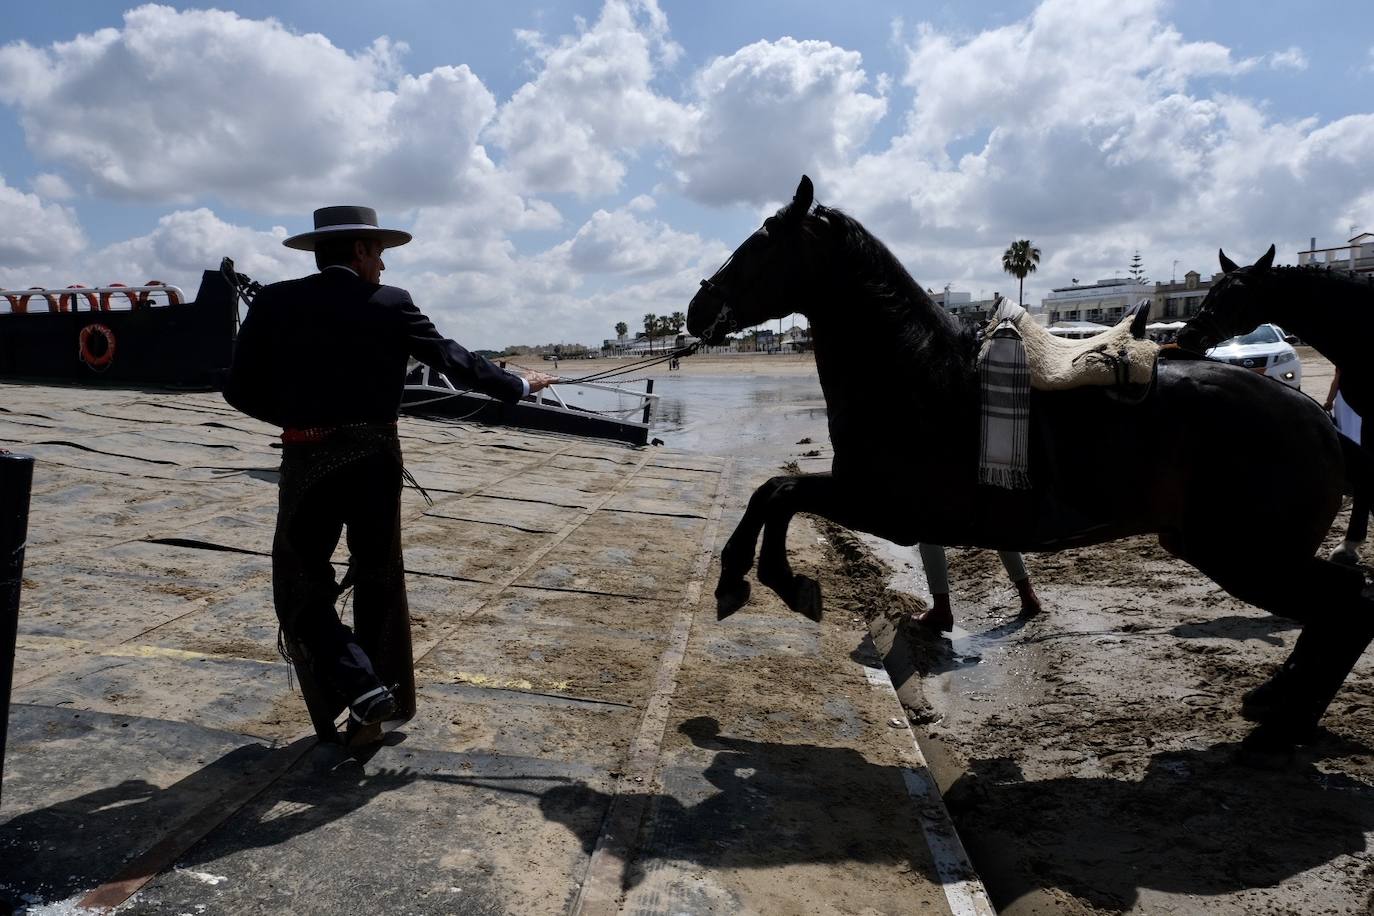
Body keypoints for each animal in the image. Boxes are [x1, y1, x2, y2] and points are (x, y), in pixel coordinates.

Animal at [687, 173, 1374, 752]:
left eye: (760, 243)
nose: (696, 311)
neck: (923, 376)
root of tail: (1315, 418)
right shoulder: (871, 500)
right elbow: (773, 492)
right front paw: (751, 578)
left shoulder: (883, 506)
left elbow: (780, 493)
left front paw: (765, 579)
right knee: (1339, 612)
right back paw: (1277, 704)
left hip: (1245, 555)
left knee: (1347, 607)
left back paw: (1283, 729)